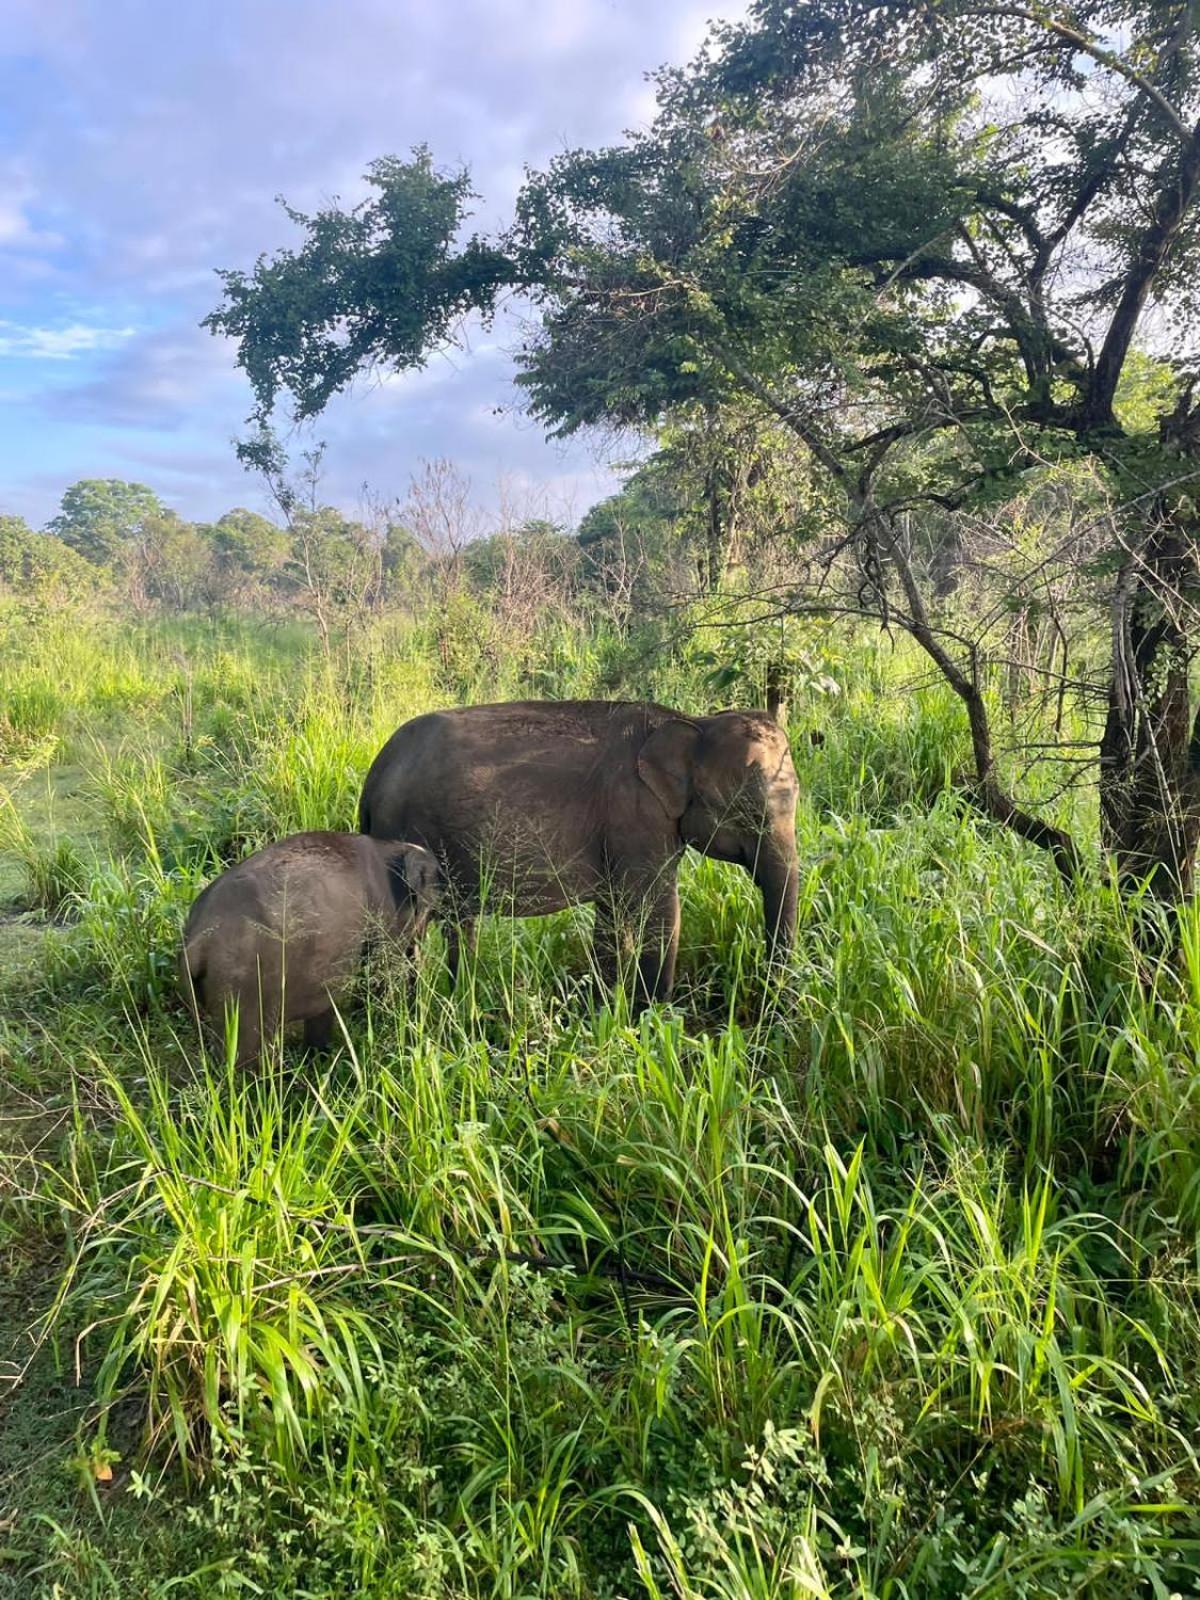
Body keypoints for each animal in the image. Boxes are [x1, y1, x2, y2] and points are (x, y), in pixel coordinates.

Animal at [361, 700, 803, 998]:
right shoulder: (635, 815)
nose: (769, 994)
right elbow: (661, 912)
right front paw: (655, 1019)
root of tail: (374, 774)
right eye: (749, 813)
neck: (694, 722)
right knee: (408, 938)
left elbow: (611, 916)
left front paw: (606, 1006)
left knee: (456, 926)